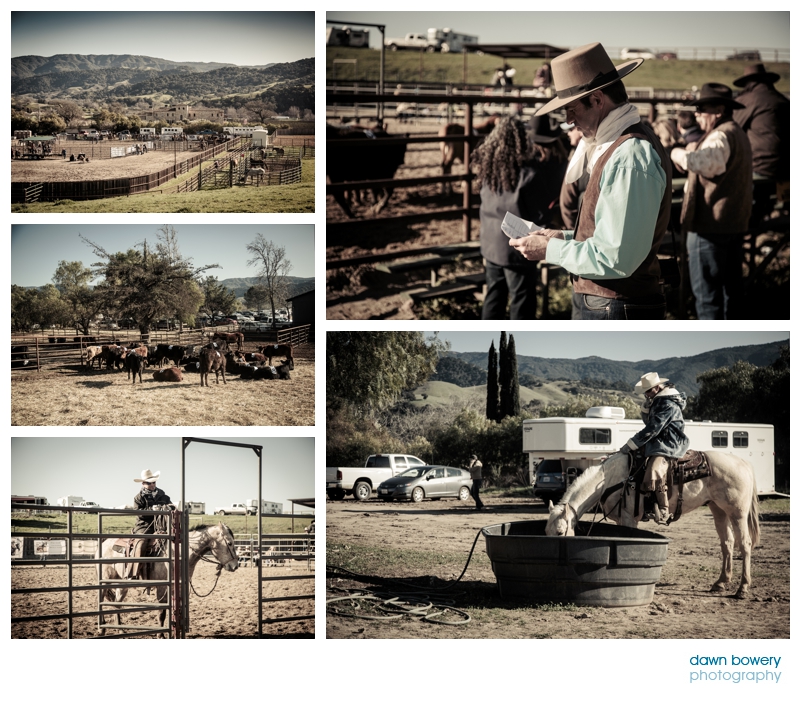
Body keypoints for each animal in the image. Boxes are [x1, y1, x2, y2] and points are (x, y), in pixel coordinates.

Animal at [97, 524, 238, 640]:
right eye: (230, 543)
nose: (235, 566)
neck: (178, 554)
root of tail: (104, 544)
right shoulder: (162, 588)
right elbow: (162, 613)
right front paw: (161, 635)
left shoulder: (178, 587)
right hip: (105, 581)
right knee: (102, 600)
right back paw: (102, 629)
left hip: (121, 584)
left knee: (116, 604)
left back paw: (119, 630)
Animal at [548, 452, 760, 600]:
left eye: (560, 531)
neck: (610, 480)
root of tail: (744, 464)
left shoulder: (629, 518)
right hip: (718, 510)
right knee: (727, 543)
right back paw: (721, 582)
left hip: (738, 513)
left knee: (745, 544)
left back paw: (742, 588)